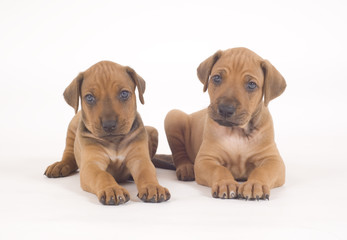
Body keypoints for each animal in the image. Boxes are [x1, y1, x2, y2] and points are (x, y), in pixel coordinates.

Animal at [45, 60, 171, 204]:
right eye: (89, 97)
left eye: (124, 94)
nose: (109, 125)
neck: (114, 141)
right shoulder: (91, 165)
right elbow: (102, 175)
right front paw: (112, 189)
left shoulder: (139, 159)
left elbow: (146, 173)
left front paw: (153, 187)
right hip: (72, 128)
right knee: (69, 155)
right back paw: (60, 165)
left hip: (153, 131)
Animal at [164, 47, 286, 200]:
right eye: (217, 78)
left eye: (251, 85)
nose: (226, 110)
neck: (238, 132)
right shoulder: (205, 159)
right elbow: (219, 169)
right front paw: (226, 183)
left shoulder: (273, 161)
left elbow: (262, 171)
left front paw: (254, 184)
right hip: (173, 116)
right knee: (179, 153)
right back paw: (185, 168)